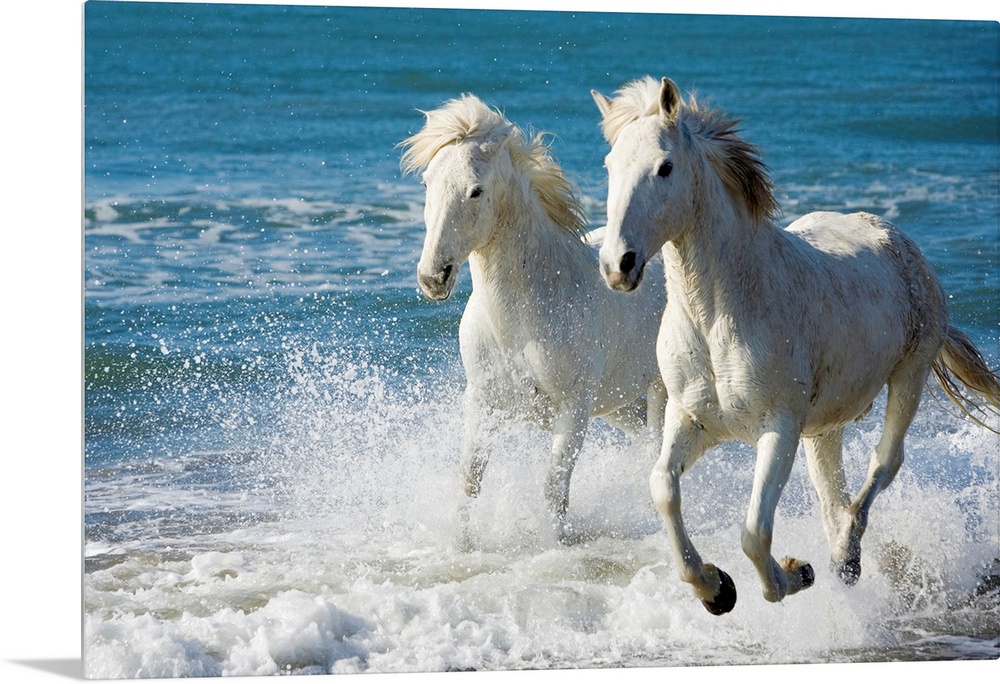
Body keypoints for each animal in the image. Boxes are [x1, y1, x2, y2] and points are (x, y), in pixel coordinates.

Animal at [399, 94, 668, 539]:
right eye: (426, 183)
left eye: (476, 191)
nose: (433, 277)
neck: (523, 321)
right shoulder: (483, 403)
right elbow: (469, 481)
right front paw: (462, 544)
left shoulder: (574, 409)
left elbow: (555, 490)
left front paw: (555, 544)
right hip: (621, 404)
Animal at [590, 75, 1000, 614]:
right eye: (609, 166)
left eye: (665, 167)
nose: (618, 264)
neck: (718, 317)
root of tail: (895, 236)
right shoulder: (691, 418)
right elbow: (663, 488)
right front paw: (714, 587)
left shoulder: (777, 431)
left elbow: (753, 534)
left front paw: (792, 574)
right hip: (824, 426)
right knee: (831, 490)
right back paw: (843, 558)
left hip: (908, 377)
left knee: (883, 465)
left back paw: (843, 554)